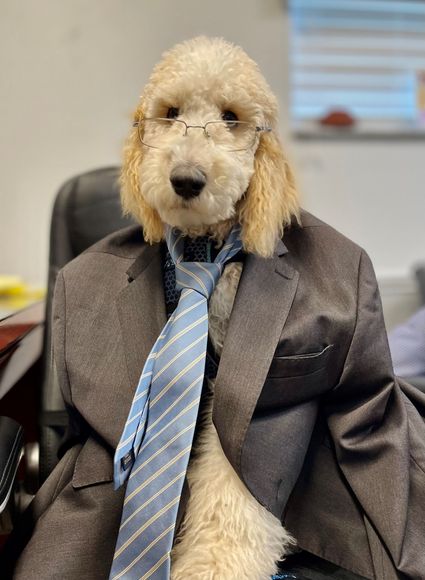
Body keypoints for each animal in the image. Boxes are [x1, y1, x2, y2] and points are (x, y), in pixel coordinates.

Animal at [117, 37, 300, 580]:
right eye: (171, 113)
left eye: (231, 117)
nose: (186, 179)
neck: (203, 249)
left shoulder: (233, 402)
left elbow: (234, 485)